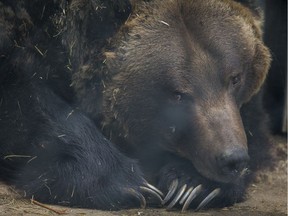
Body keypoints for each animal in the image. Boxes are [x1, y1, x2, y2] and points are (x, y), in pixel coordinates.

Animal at [0, 0, 272, 211]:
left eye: (235, 78)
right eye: (178, 94)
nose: (232, 158)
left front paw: (192, 185)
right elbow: (30, 107)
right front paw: (127, 183)